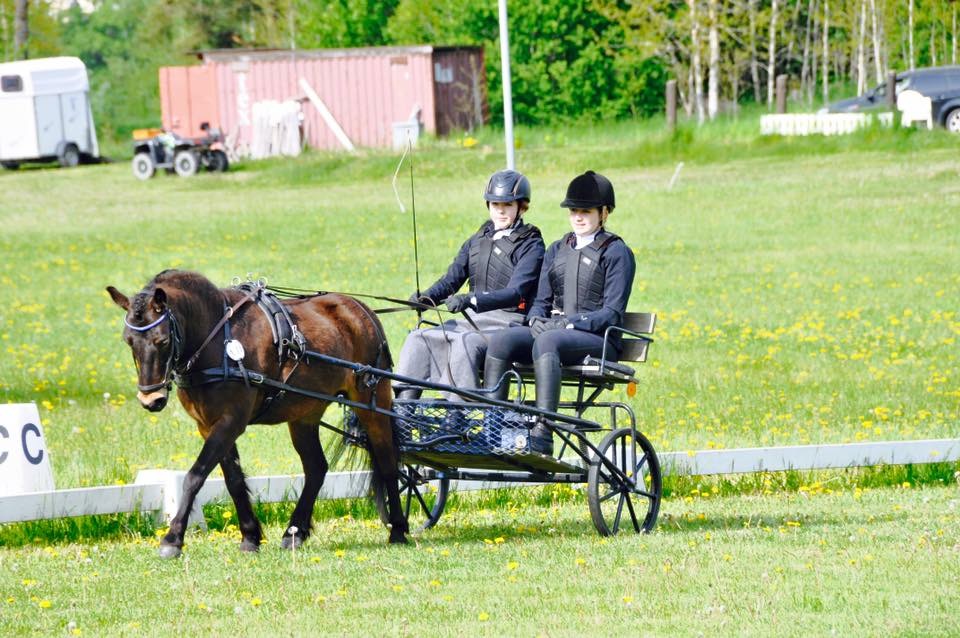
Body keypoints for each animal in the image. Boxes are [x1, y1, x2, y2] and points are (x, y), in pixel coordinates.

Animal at [106, 270, 409, 558]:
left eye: (162, 340)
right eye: (129, 341)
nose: (151, 399)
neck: (219, 339)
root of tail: (360, 309)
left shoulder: (231, 422)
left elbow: (195, 476)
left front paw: (172, 540)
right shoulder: (209, 425)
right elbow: (233, 480)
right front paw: (250, 537)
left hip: (372, 401)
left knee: (387, 461)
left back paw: (398, 529)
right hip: (304, 413)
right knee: (316, 468)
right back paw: (294, 532)